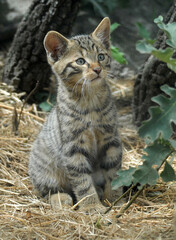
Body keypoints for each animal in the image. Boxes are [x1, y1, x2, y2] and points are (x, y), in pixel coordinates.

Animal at [28, 17, 122, 208]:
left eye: (101, 57)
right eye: (80, 61)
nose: (97, 69)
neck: (90, 100)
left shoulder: (111, 139)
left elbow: (113, 171)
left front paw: (113, 199)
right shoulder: (73, 147)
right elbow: (82, 182)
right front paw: (93, 207)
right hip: (45, 170)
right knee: (48, 190)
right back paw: (61, 200)